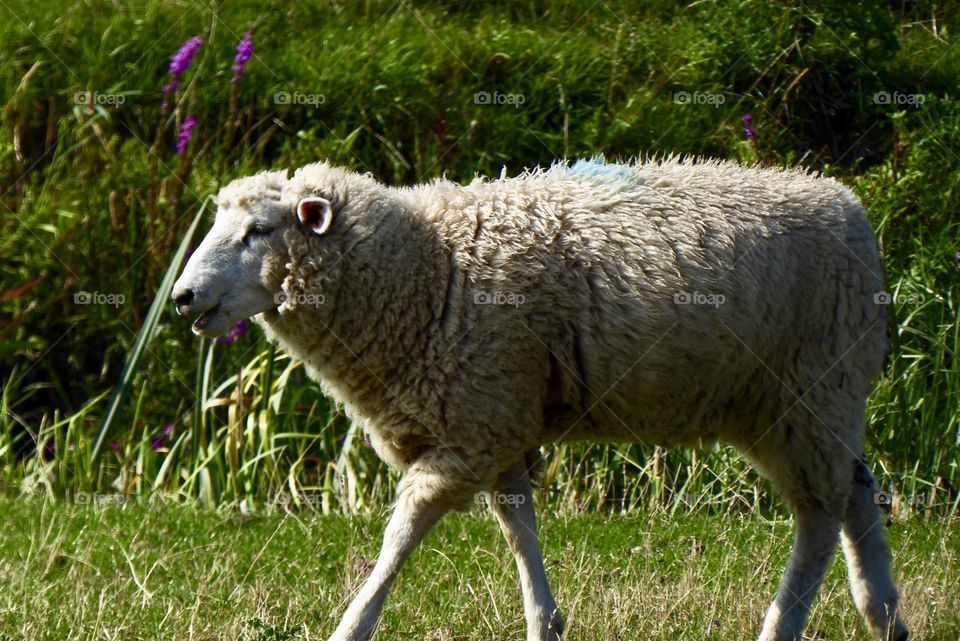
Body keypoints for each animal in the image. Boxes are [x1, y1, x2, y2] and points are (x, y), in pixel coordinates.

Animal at [172, 157, 907, 641]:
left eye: (259, 231)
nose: (180, 297)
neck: (428, 269)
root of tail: (853, 211)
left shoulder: (472, 428)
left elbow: (402, 531)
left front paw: (352, 625)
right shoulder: (495, 418)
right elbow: (517, 526)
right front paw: (545, 622)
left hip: (809, 391)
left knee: (820, 512)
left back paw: (786, 624)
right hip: (794, 404)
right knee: (855, 488)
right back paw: (885, 616)